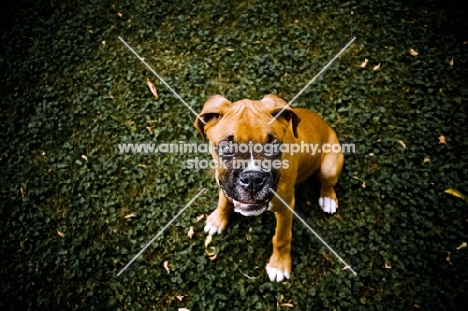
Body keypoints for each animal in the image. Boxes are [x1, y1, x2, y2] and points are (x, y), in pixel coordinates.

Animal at [194, 94, 344, 282]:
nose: (252, 178)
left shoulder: (286, 208)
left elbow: (281, 238)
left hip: (329, 167)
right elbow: (223, 200)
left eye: (273, 146)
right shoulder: (223, 183)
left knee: (328, 183)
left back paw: (328, 198)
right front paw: (217, 219)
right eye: (226, 148)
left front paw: (279, 265)